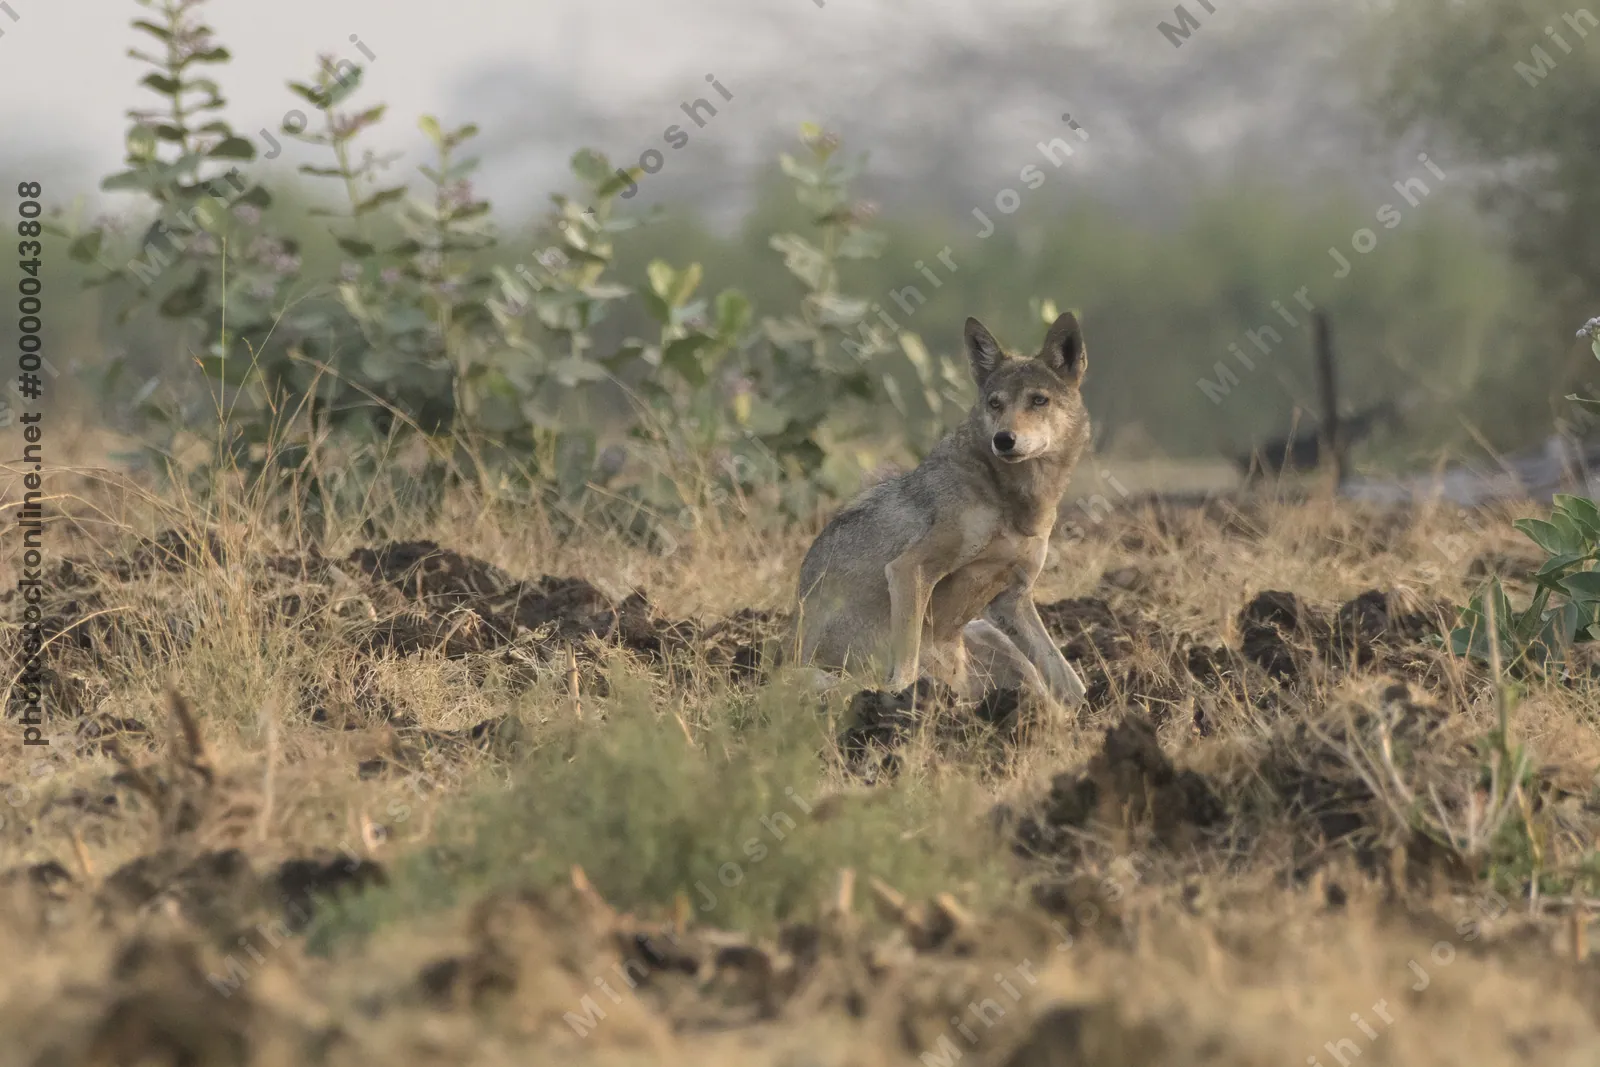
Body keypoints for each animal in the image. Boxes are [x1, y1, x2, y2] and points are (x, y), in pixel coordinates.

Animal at [793, 311, 1093, 717]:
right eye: (995, 404)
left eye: (1038, 400)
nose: (1004, 440)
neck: (1014, 498)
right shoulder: (910, 569)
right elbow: (903, 670)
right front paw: (902, 704)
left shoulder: (1013, 597)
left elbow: (1071, 681)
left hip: (989, 633)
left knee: (1044, 688)